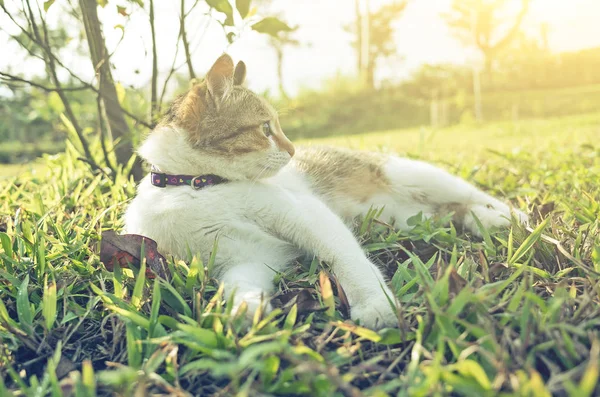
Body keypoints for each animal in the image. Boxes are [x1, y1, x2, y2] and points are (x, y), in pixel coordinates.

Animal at [124, 54, 528, 330]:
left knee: (469, 195)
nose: (293, 150)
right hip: (413, 218)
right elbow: (240, 284)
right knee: (451, 213)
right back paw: (485, 222)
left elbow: (343, 255)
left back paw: (511, 216)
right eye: (265, 129)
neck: (190, 187)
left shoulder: (304, 214)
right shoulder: (245, 258)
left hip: (415, 175)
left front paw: (372, 302)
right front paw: (243, 311)